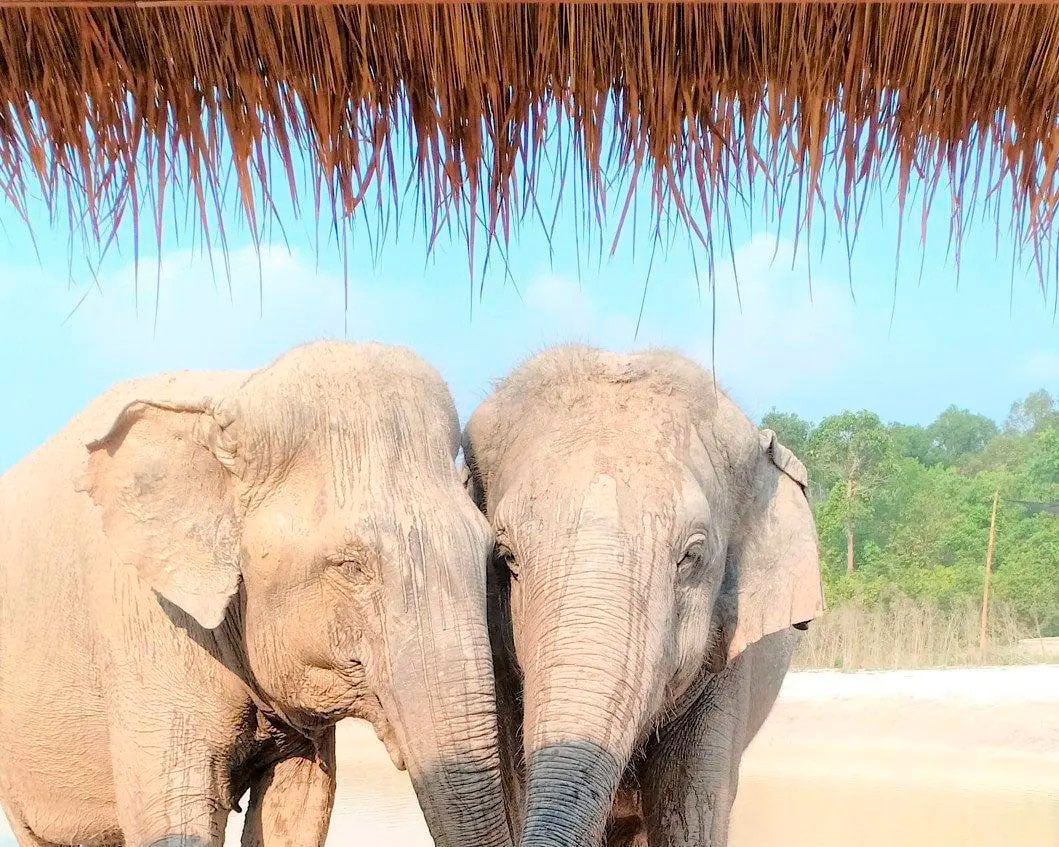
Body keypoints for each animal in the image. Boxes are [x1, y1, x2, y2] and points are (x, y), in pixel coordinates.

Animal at [0, 341, 512, 847]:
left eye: (490, 554)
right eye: (350, 566)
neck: (239, 394)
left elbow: (301, 804)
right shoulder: (145, 621)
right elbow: (176, 812)